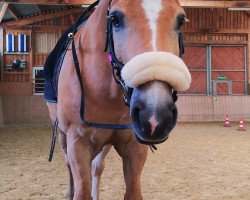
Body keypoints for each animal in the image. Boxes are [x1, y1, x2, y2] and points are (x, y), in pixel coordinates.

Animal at [46, 0, 190, 199]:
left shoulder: (134, 147)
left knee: (97, 167)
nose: (155, 116)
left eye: (181, 21)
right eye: (115, 19)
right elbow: (81, 190)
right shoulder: (77, 143)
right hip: (61, 134)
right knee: (68, 166)